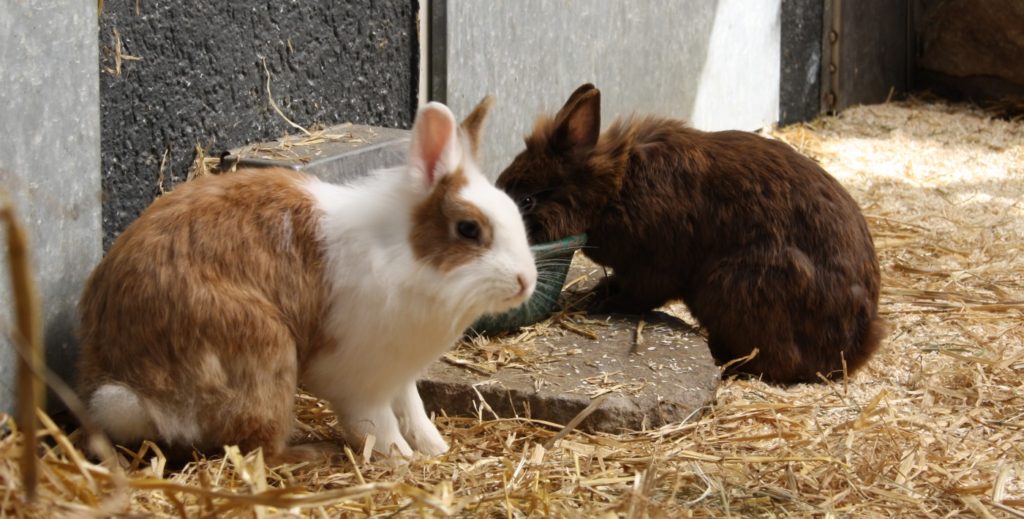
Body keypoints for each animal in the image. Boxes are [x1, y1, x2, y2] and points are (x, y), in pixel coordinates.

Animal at [75, 97, 537, 463]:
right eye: (468, 229)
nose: (526, 281)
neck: (405, 256)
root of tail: (129, 388)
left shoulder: (401, 374)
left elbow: (414, 409)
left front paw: (435, 448)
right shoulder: (361, 380)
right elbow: (378, 424)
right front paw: (401, 459)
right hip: (265, 353)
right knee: (259, 449)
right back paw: (314, 453)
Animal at [495, 84, 885, 384]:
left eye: (528, 200)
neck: (613, 188)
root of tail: (856, 344)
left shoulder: (654, 267)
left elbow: (638, 293)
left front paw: (599, 304)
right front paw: (595, 293)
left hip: (732, 285)